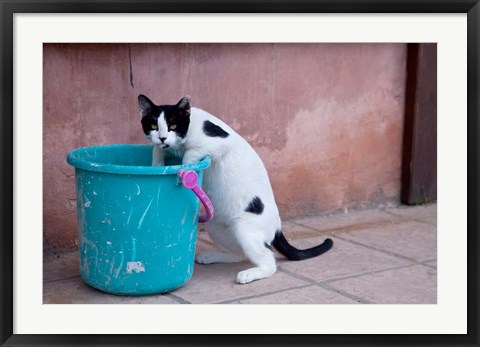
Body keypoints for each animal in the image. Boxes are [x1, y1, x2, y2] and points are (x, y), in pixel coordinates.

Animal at [139, 95, 334, 286]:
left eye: (172, 126)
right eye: (154, 126)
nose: (163, 138)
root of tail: (278, 226)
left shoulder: (220, 142)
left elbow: (189, 154)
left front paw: (184, 168)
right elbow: (156, 152)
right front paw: (158, 162)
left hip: (244, 228)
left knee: (269, 262)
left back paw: (250, 274)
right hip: (215, 225)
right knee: (239, 254)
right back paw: (213, 256)